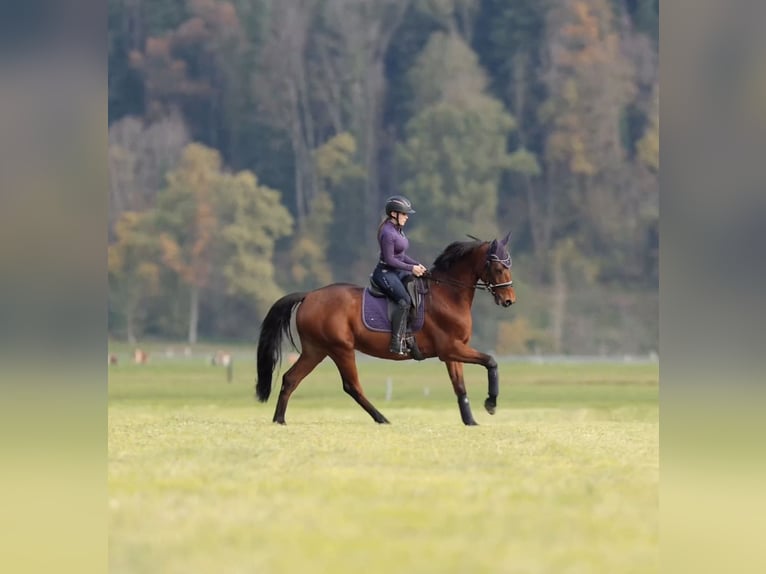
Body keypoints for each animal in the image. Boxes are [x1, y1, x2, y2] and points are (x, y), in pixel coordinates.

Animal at [255, 232, 516, 425]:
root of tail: (309, 296)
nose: (509, 300)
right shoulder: (451, 348)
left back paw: (279, 420)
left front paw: (470, 421)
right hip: (340, 349)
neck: (447, 294)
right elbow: (491, 362)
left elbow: (459, 386)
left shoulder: (453, 352)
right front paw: (491, 404)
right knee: (352, 386)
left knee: (291, 379)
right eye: (498, 268)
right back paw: (382, 418)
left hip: (316, 350)